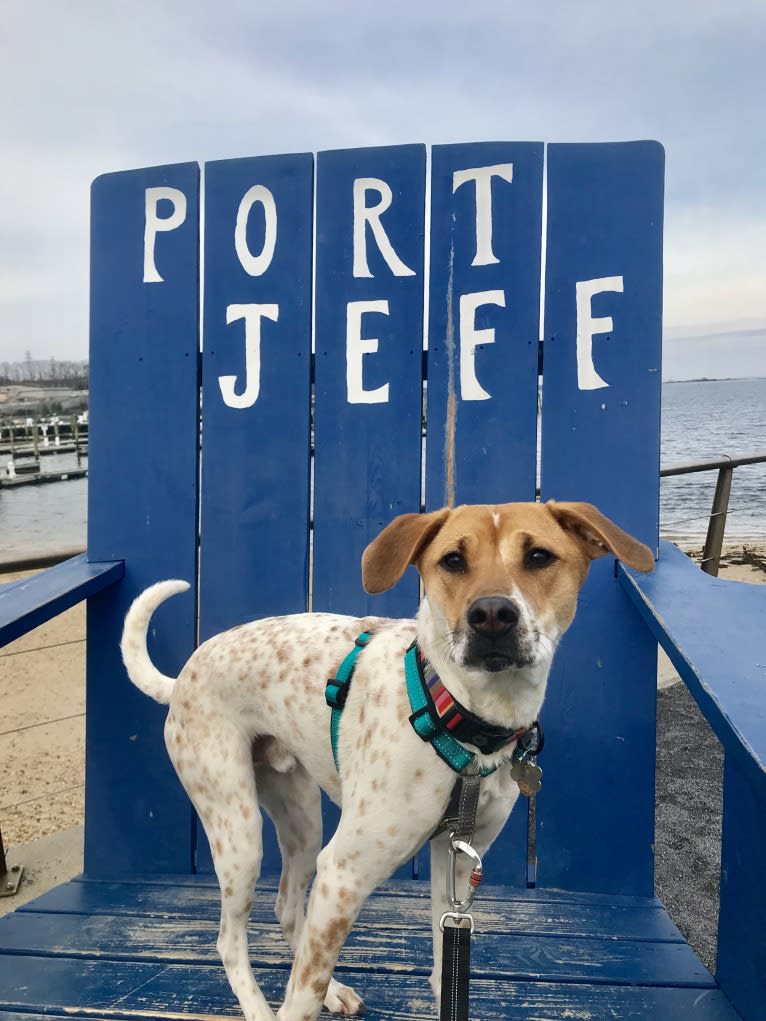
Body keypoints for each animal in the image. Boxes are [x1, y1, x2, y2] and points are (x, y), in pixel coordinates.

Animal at [120, 500, 653, 1021]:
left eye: (539, 556)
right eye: (452, 560)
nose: (491, 614)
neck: (460, 720)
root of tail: (183, 676)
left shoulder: (456, 861)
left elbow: (442, 966)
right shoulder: (344, 872)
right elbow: (301, 998)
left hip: (301, 821)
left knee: (288, 907)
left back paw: (333, 989)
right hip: (239, 833)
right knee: (231, 941)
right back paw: (261, 1007)